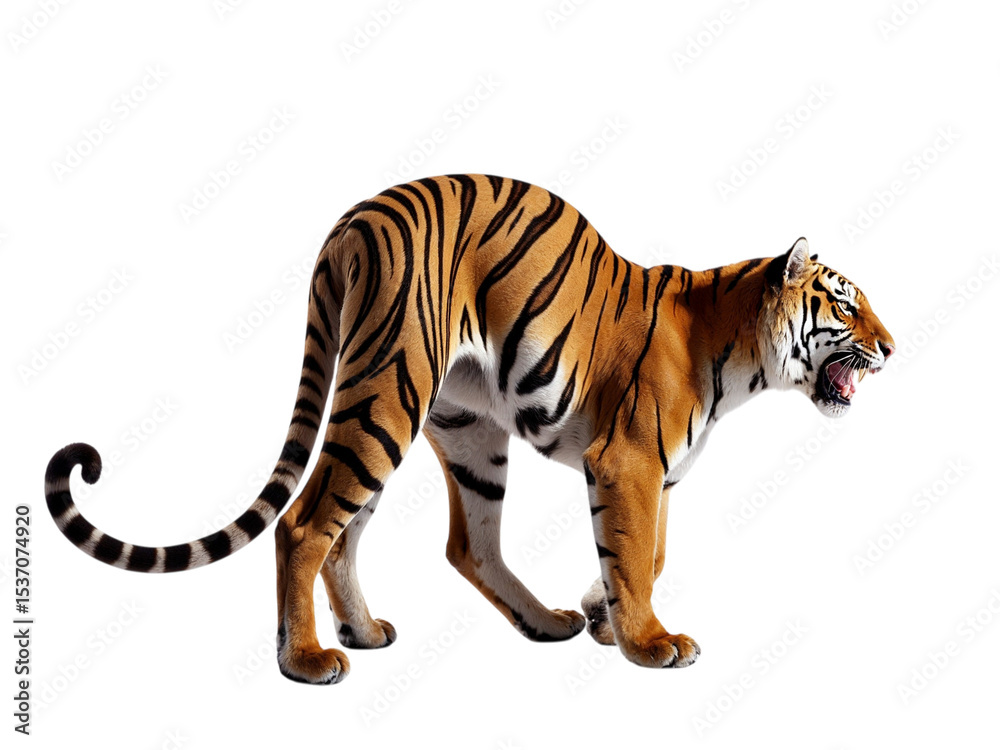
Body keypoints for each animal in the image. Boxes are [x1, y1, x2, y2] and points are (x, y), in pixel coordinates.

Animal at [45, 174, 894, 683]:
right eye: (846, 304)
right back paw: (309, 657)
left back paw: (423, 628)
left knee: (446, 541)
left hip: (452, 423)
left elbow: (647, 556)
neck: (739, 351)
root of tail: (353, 219)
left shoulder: (656, 475)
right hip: (388, 390)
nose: (892, 346)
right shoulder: (628, 463)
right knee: (306, 521)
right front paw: (650, 644)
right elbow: (634, 552)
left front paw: (601, 615)